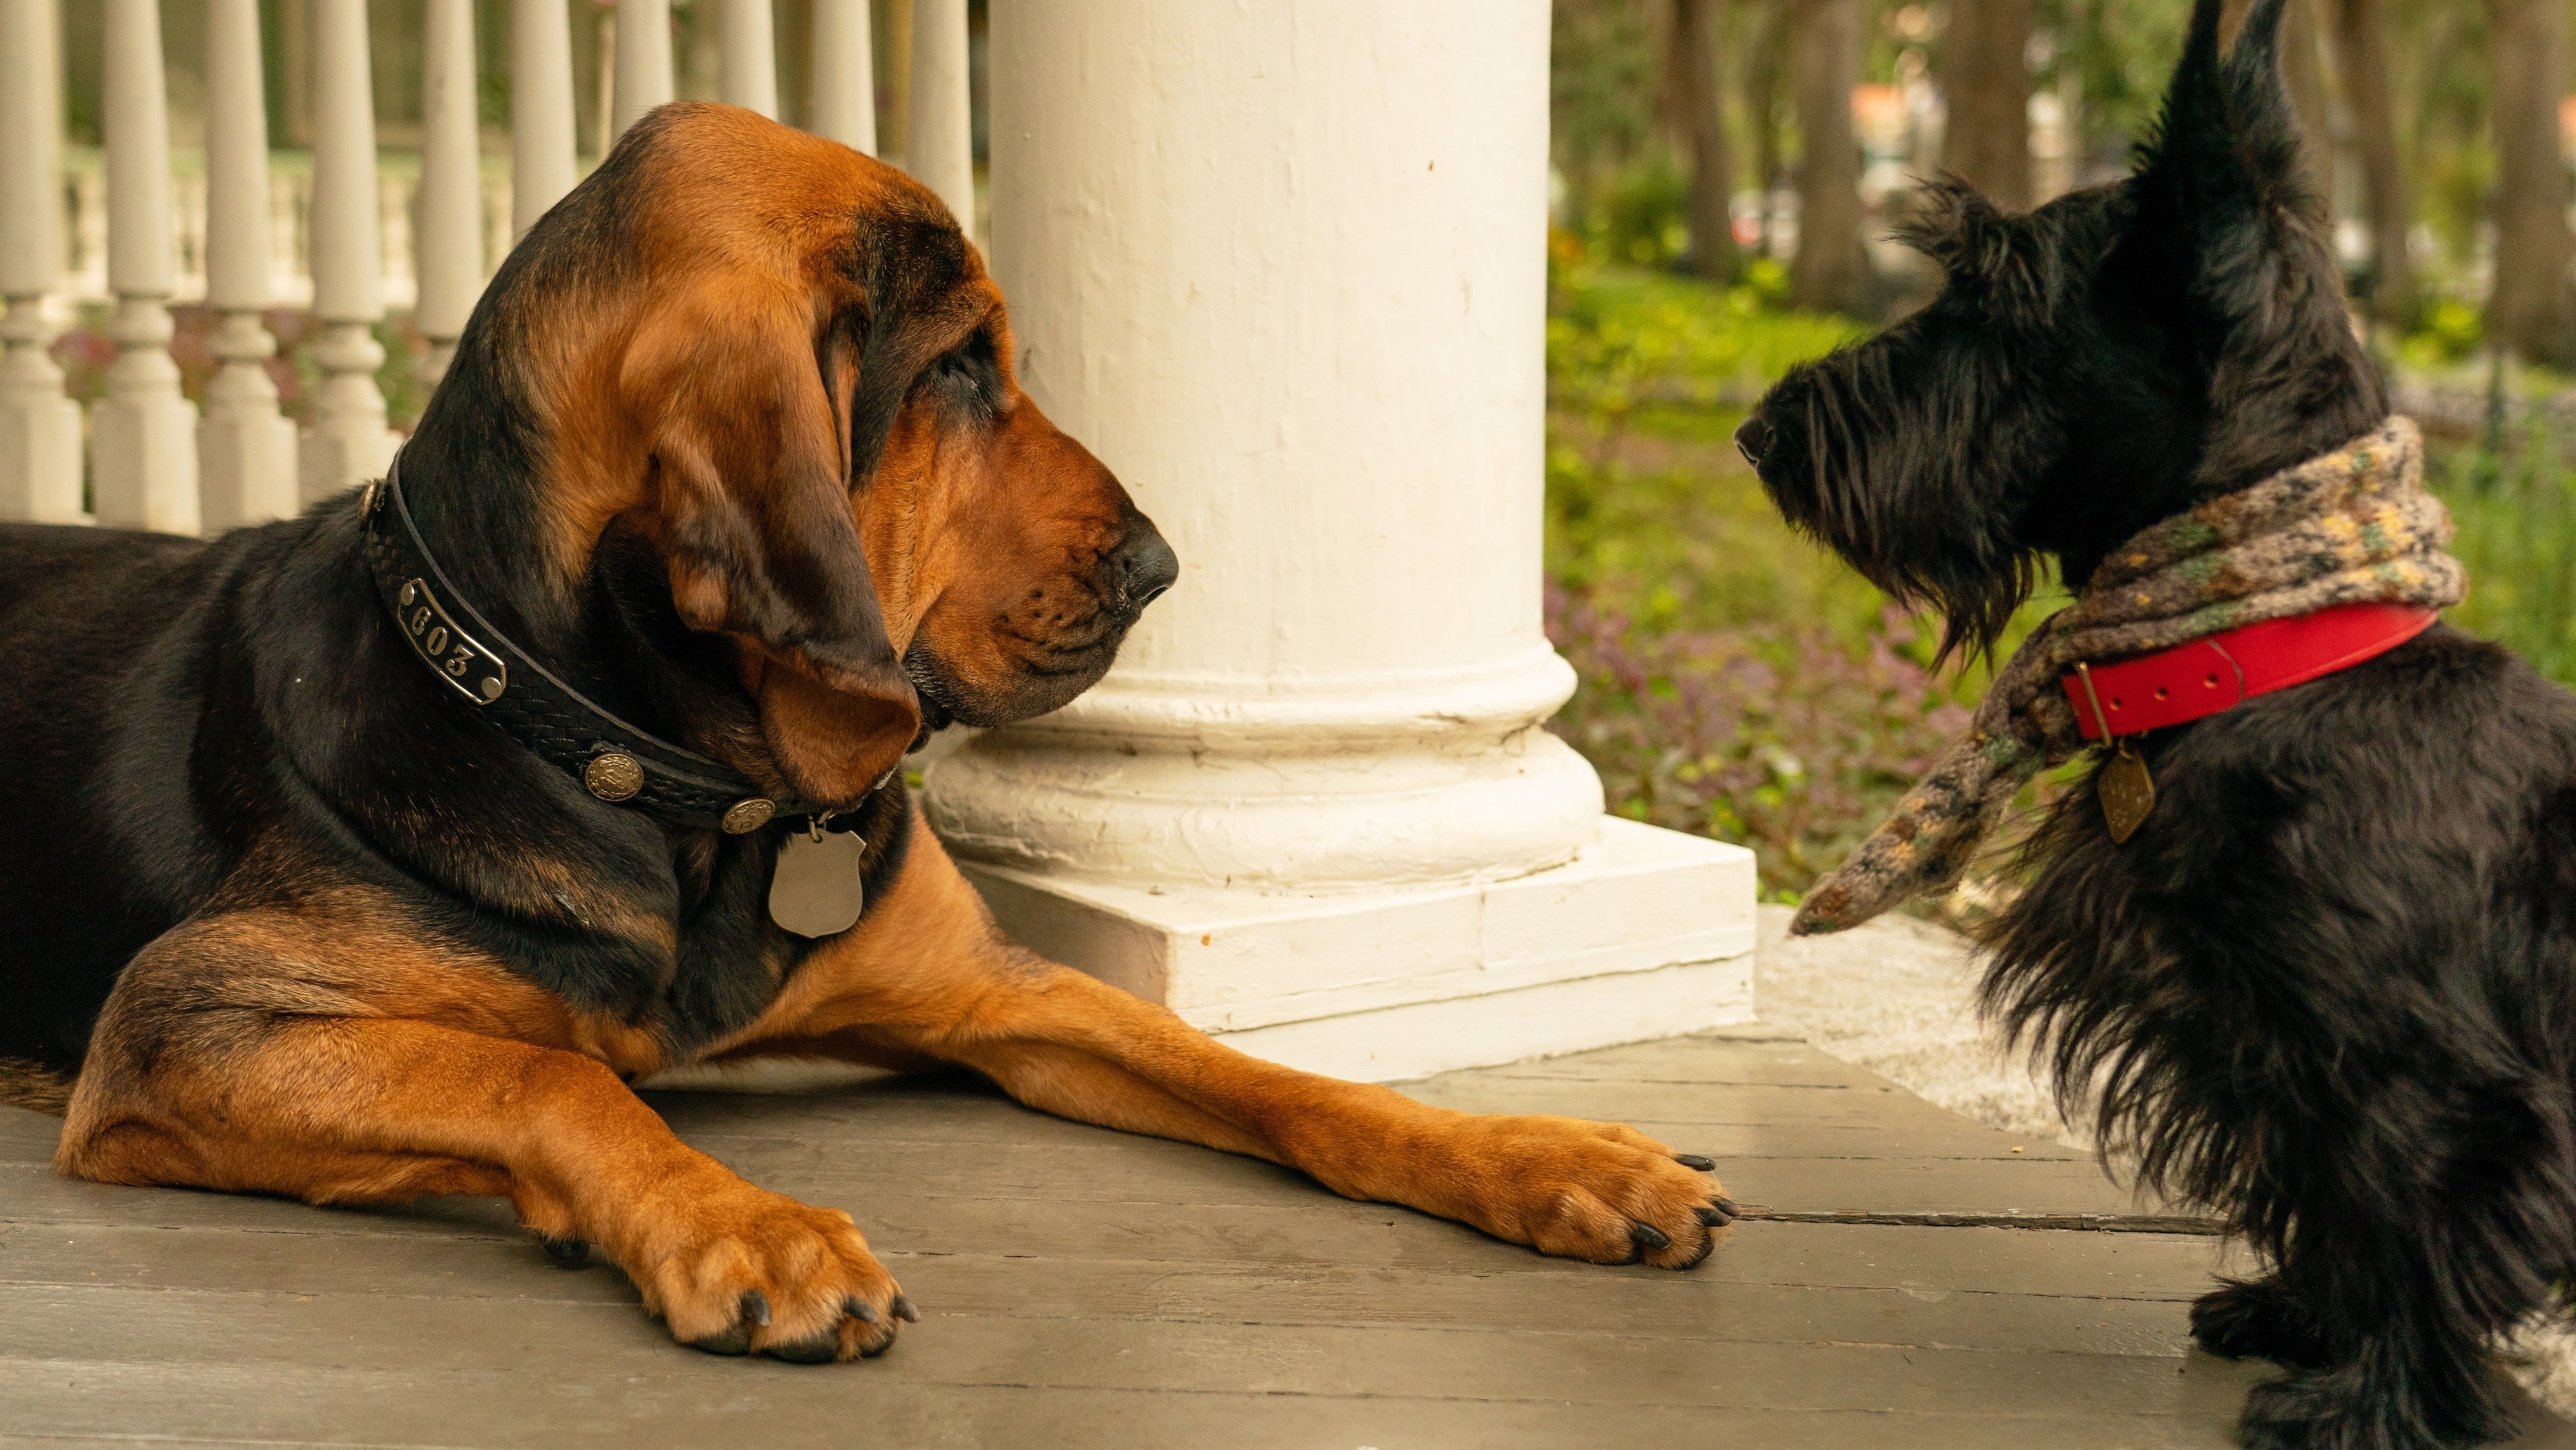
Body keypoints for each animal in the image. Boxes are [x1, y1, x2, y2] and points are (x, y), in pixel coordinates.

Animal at [5, 107, 1731, 1370]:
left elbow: (1280, 1078)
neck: (669, 789)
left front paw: (1549, 1156)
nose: (1161, 566)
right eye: (958, 370)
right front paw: (750, 1225)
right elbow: (557, 1080)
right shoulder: (188, 1028)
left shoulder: (1000, 992)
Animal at [1731, 3, 2576, 1450]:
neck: (2261, 651)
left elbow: (2410, 1218)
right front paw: (2303, 1317)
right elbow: (2335, 1195)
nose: (1759, 431)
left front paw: (2373, 1406)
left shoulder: (2430, 1077)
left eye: (1992, 295)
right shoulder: (2271, 1041)